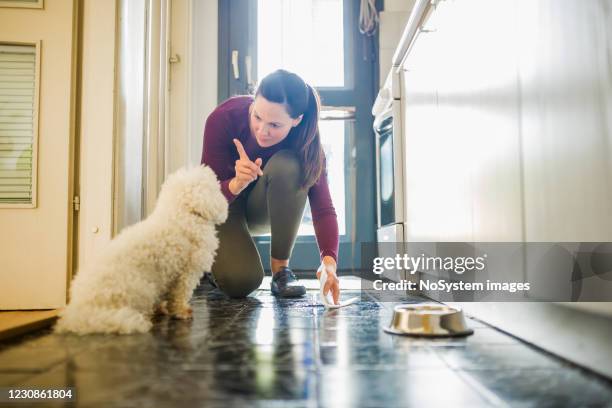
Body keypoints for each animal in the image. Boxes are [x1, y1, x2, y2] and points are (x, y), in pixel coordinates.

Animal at [54, 166, 227, 334]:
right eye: (215, 186)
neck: (182, 213)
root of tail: (80, 310)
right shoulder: (188, 271)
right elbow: (180, 294)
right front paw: (182, 312)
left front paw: (165, 308)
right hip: (142, 287)